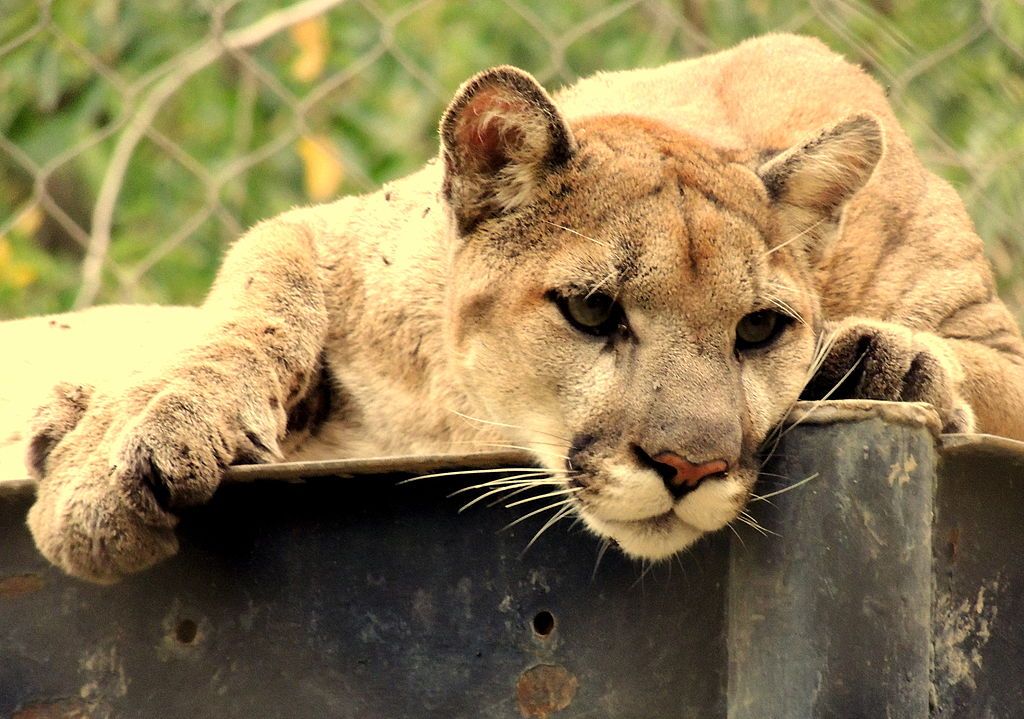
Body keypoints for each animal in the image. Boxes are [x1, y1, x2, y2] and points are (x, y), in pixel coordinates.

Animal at [2, 33, 1022, 583]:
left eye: (760, 330)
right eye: (592, 311)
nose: (689, 467)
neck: (459, 410)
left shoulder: (990, 330)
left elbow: (976, 365)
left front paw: (876, 358)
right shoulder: (332, 230)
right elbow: (250, 304)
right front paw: (114, 448)